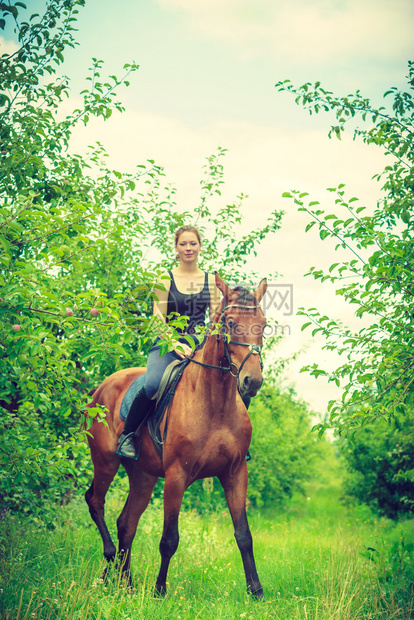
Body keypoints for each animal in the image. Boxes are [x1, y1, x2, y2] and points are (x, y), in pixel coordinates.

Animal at [85, 274, 266, 600]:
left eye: (265, 324)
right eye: (231, 323)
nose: (252, 381)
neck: (215, 402)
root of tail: (101, 388)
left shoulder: (235, 473)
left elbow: (244, 535)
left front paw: (256, 591)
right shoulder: (176, 475)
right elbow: (169, 538)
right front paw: (160, 590)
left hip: (142, 475)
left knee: (126, 523)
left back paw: (126, 583)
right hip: (105, 462)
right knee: (95, 501)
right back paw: (110, 563)